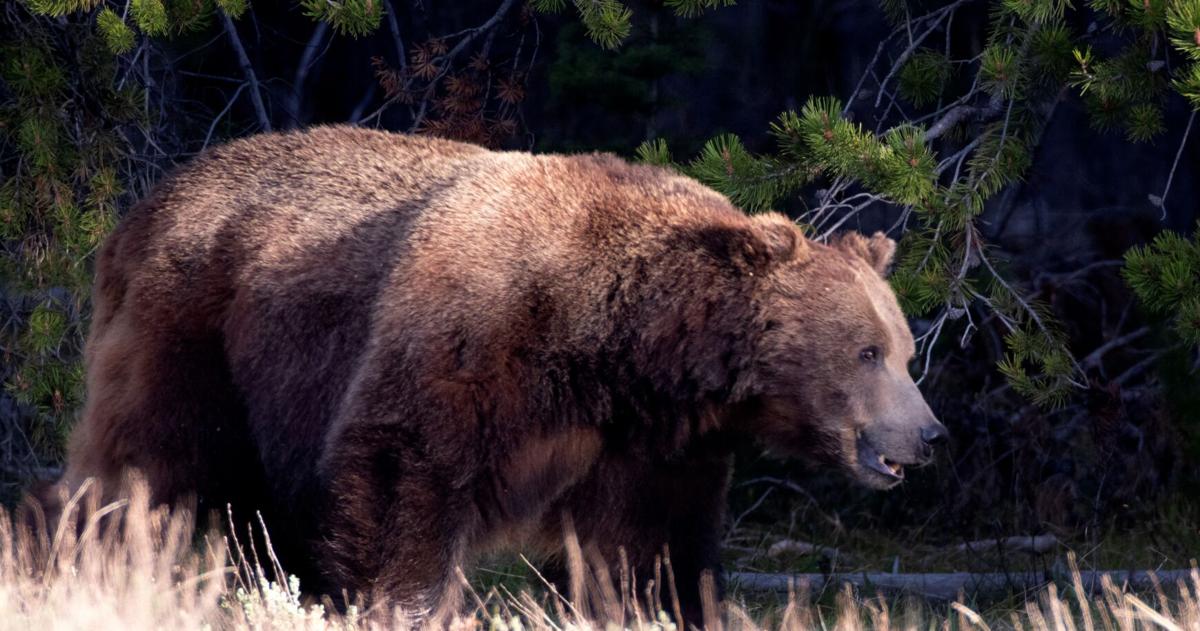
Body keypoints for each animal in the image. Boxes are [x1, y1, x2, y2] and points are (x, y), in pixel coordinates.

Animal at [51, 126, 946, 625]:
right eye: (866, 350)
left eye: (904, 349)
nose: (929, 433)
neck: (618, 343)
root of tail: (143, 206)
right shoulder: (476, 334)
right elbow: (403, 470)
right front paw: (403, 604)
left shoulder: (646, 438)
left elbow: (646, 541)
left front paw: (665, 604)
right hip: (195, 337)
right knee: (143, 464)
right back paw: (93, 562)